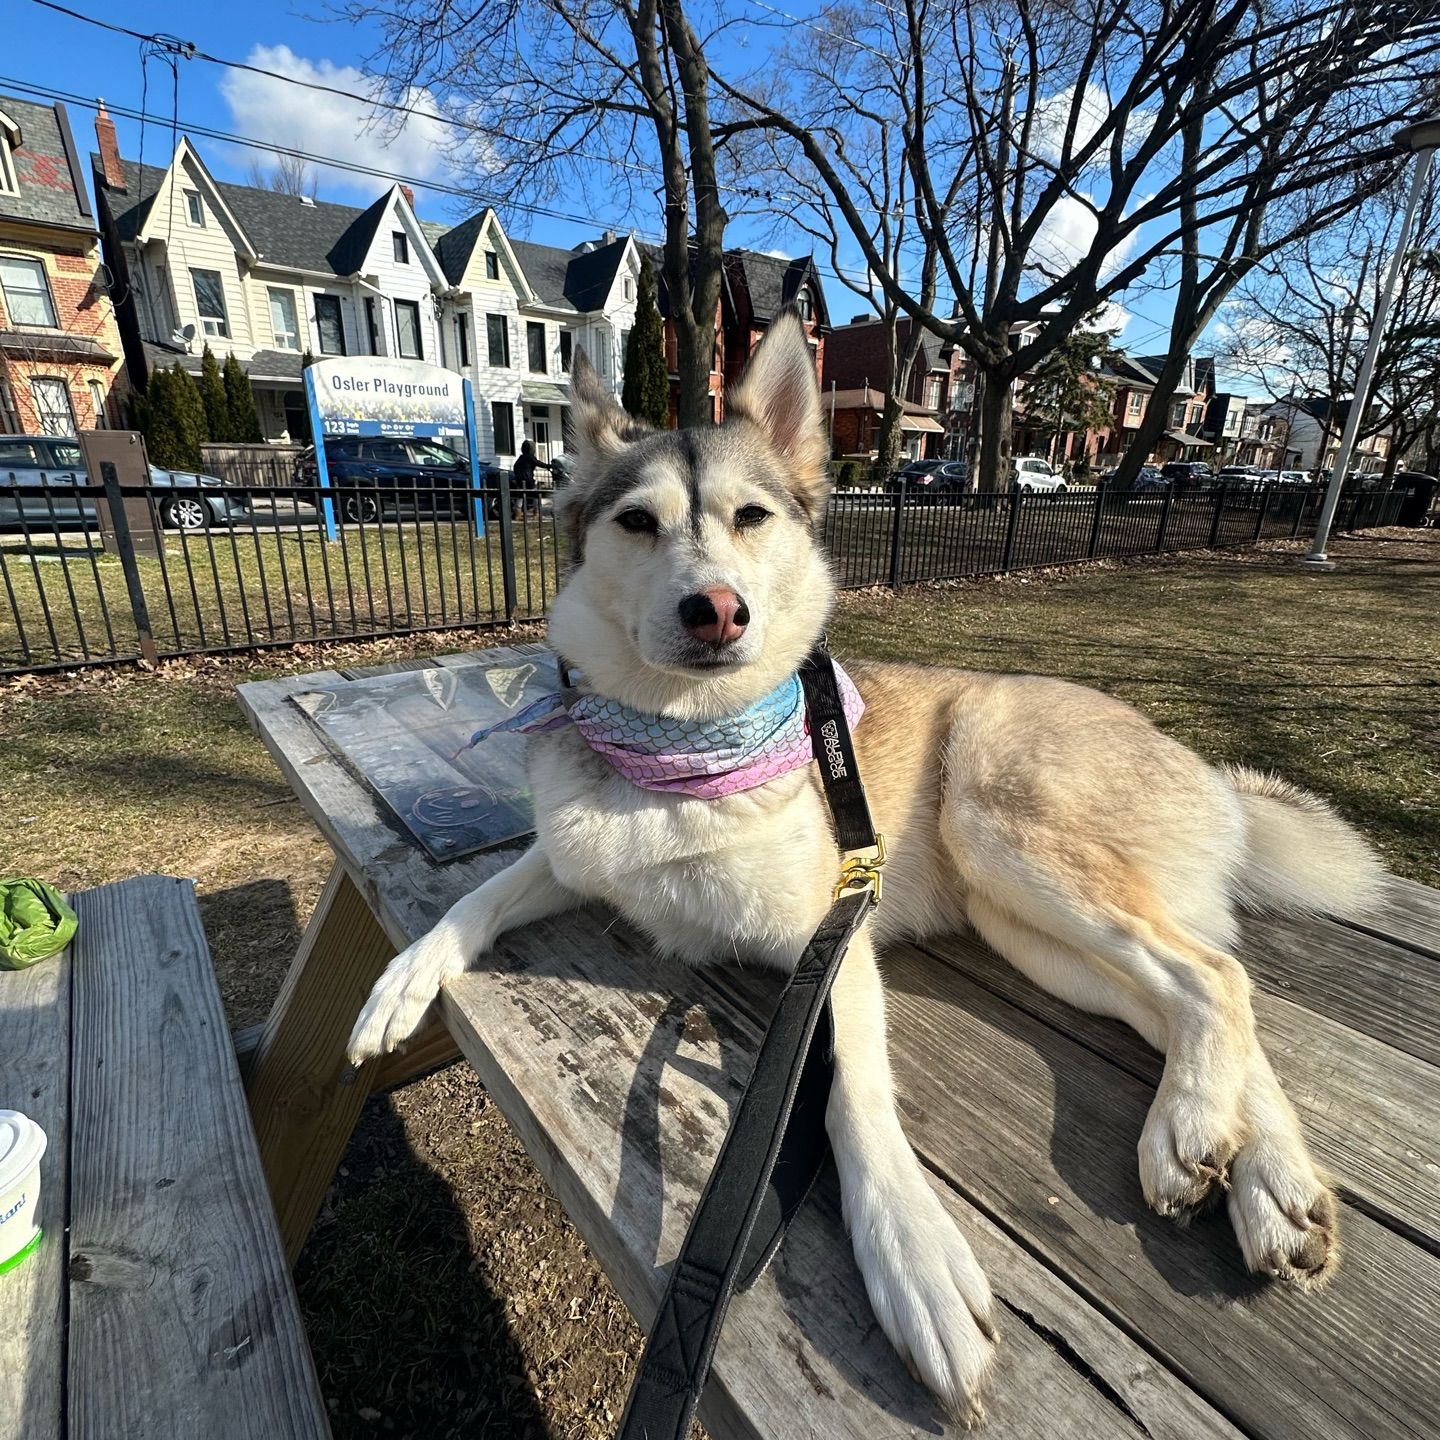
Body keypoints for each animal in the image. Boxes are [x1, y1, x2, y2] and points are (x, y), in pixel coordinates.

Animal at [348, 309, 1382, 1422]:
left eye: (751, 517)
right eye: (636, 523)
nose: (718, 609)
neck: (684, 746)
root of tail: (1209, 774)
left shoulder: (831, 942)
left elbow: (850, 1095)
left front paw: (913, 1257)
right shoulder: (576, 854)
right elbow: (477, 900)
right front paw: (400, 985)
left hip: (997, 818)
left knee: (1214, 975)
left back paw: (1201, 1134)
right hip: (1029, 931)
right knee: (1194, 997)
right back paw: (1260, 1177)